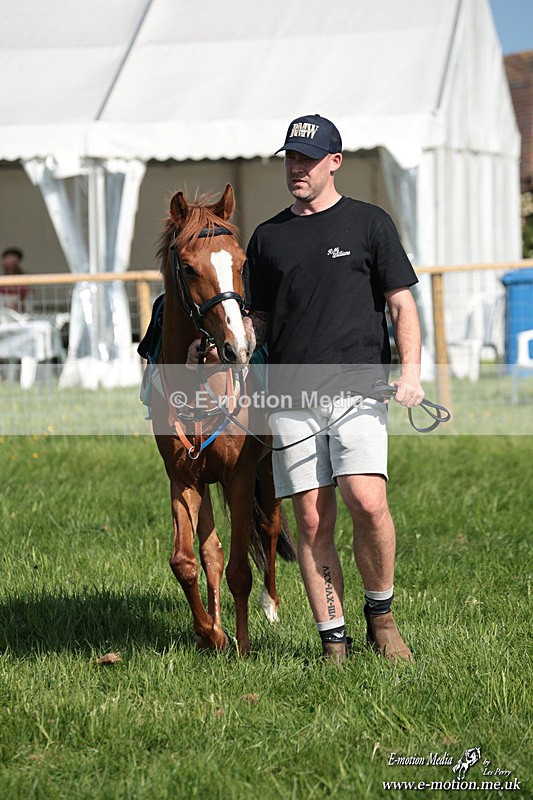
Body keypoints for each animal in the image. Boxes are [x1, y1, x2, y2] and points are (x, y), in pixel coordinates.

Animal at [149, 184, 295, 655]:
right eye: (189, 268)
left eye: (241, 262)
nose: (236, 347)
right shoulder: (183, 478)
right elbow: (188, 561)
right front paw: (212, 633)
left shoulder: (241, 476)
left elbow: (240, 571)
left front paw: (244, 645)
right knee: (211, 550)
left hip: (267, 472)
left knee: (269, 527)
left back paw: (272, 606)